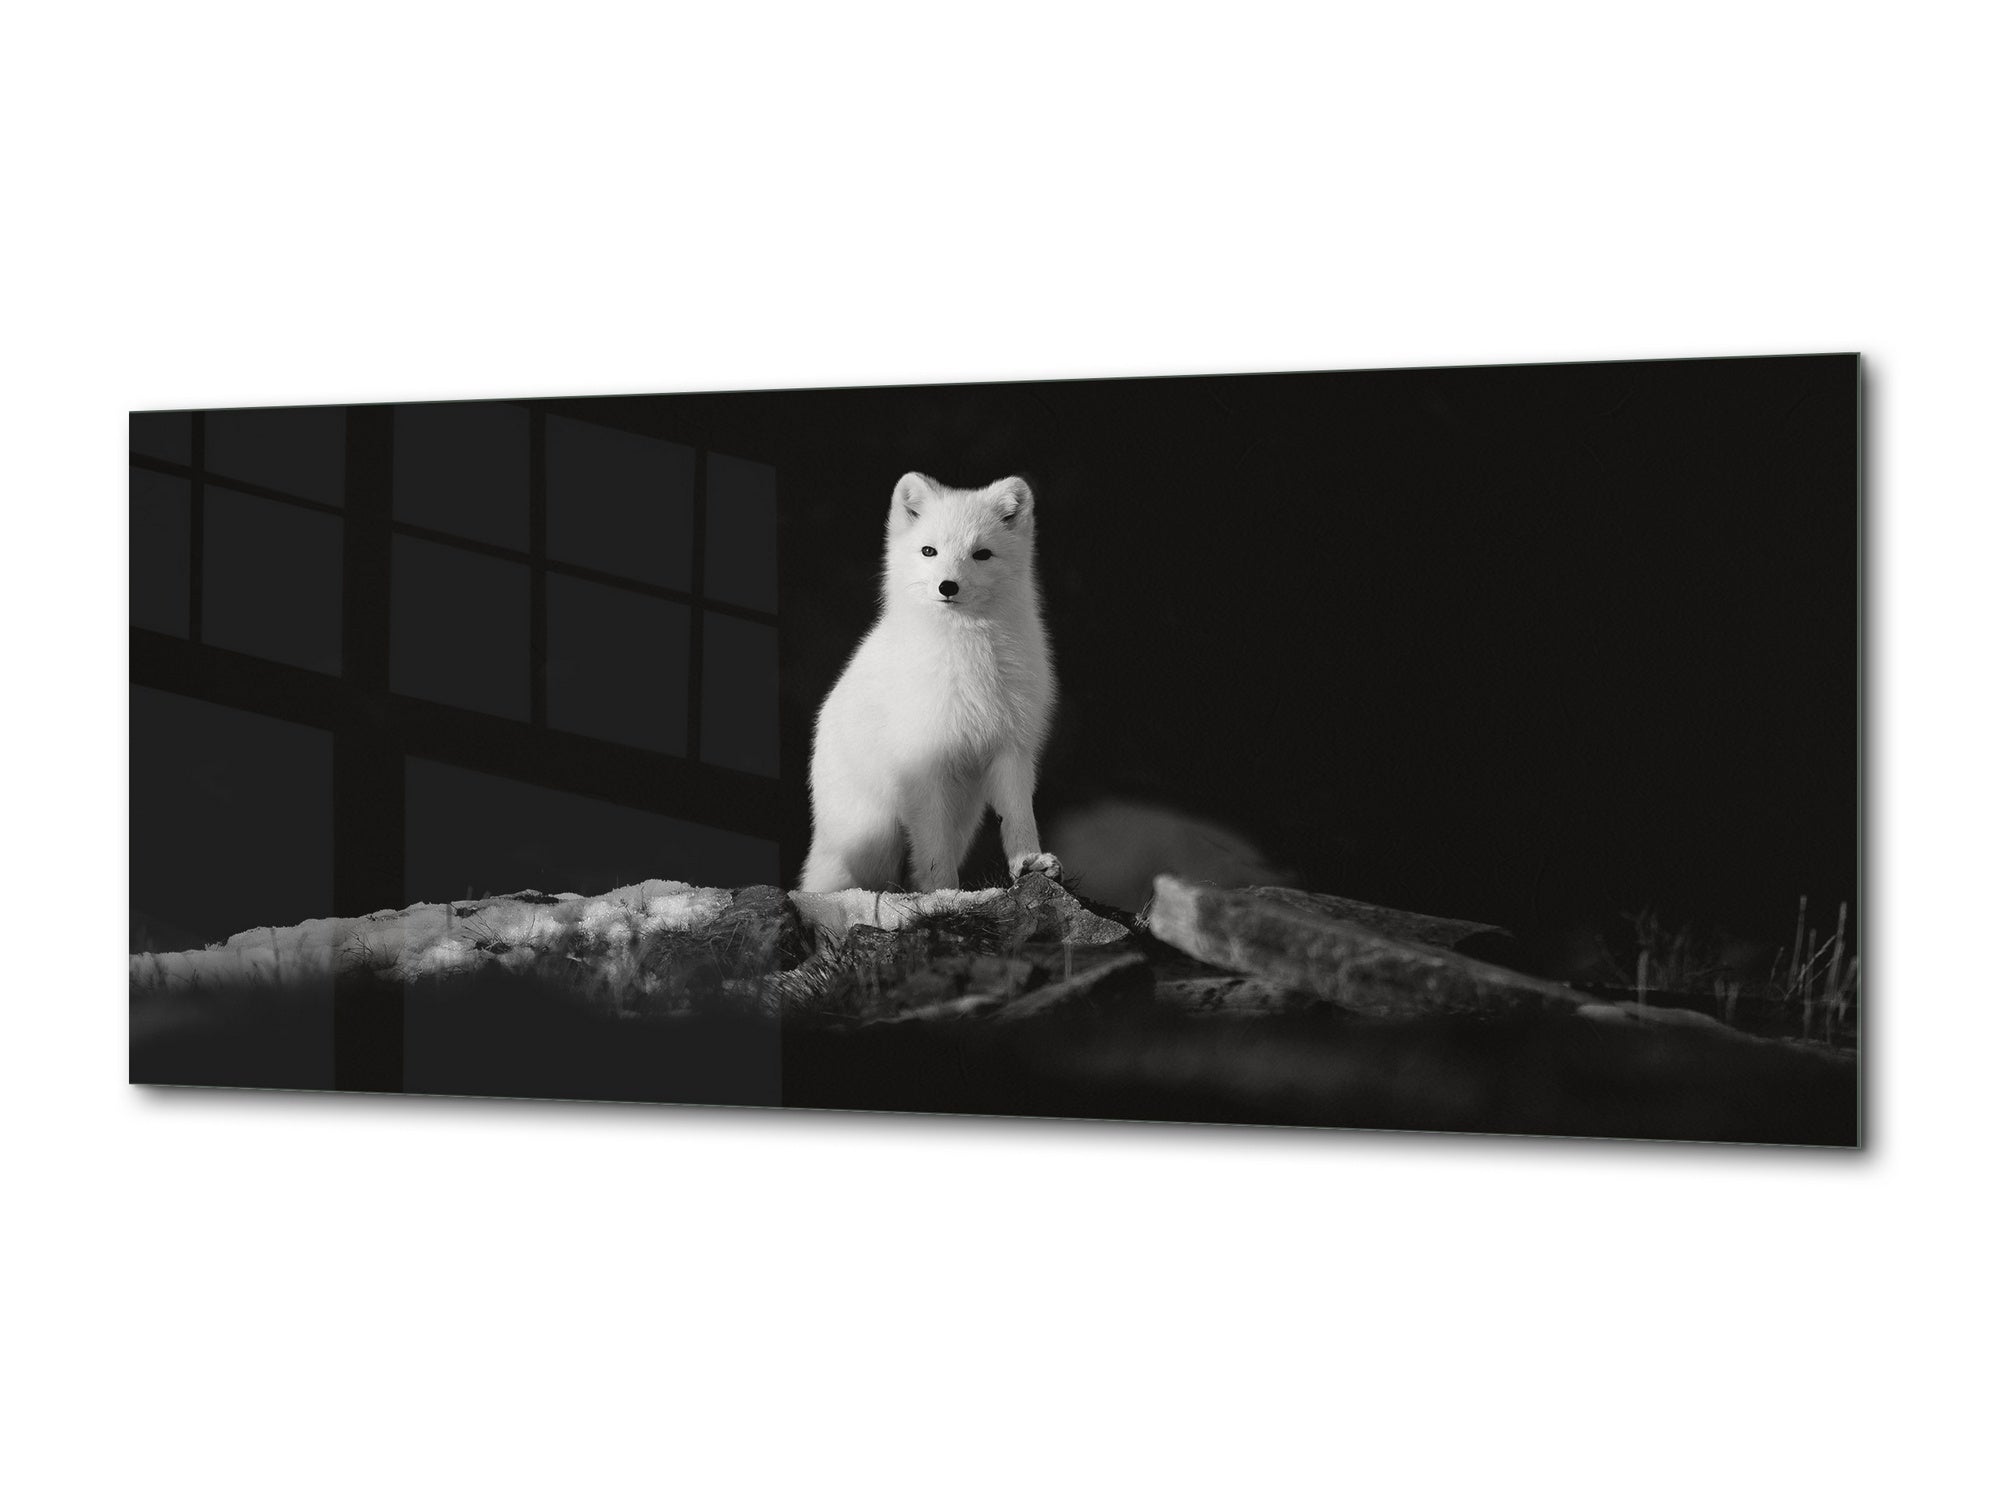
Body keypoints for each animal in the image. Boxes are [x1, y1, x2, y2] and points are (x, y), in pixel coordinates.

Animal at [800, 471, 1061, 894]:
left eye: (981, 554)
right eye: (929, 551)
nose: (947, 586)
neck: (969, 653)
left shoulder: (1012, 747)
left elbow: (1018, 816)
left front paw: (1031, 862)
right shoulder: (924, 762)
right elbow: (933, 847)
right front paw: (945, 893)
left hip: (963, 819)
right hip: (872, 837)